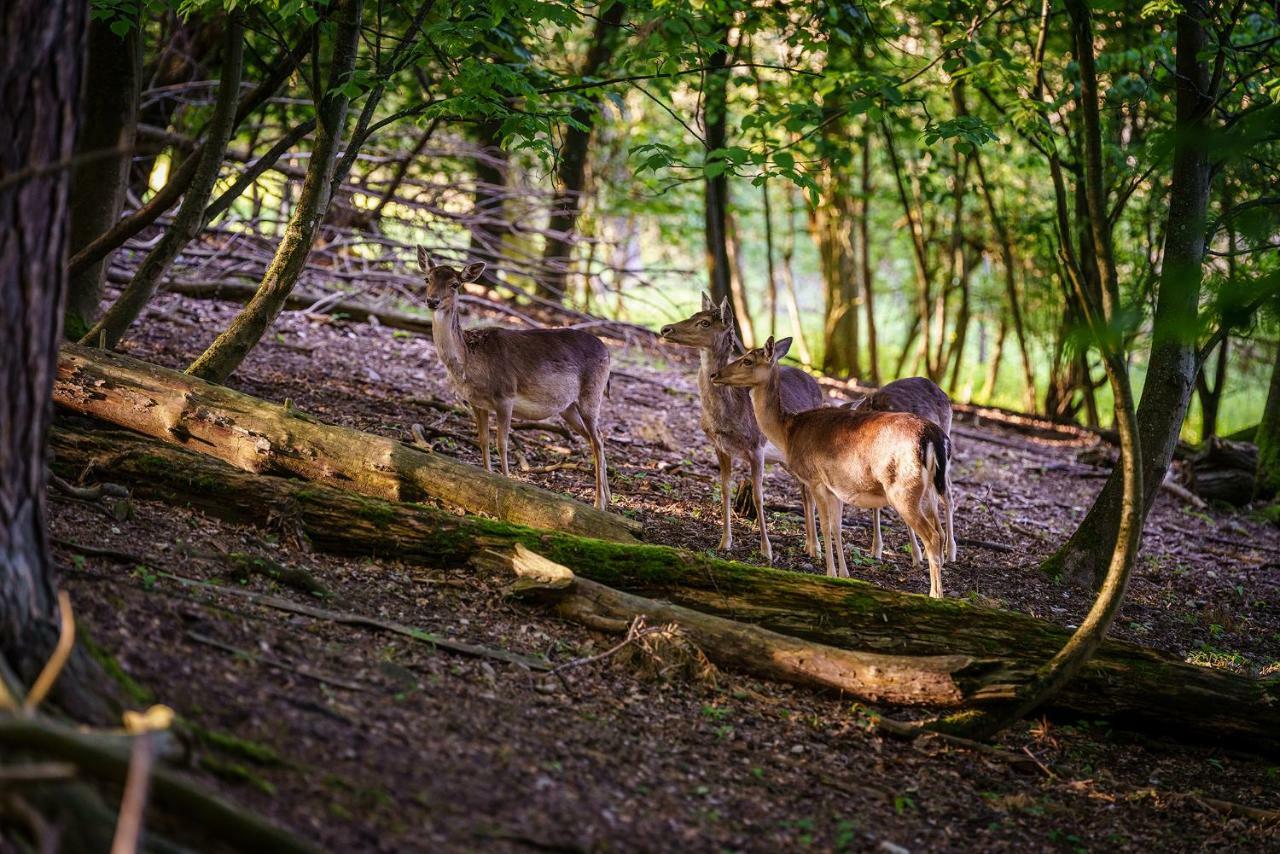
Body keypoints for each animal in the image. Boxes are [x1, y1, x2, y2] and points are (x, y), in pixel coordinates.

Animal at [417, 250, 611, 512]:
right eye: (427, 278)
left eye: (455, 284)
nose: (432, 301)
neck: (469, 364)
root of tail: (608, 352)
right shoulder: (476, 402)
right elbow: (483, 441)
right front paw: (483, 481)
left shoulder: (505, 396)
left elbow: (502, 443)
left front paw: (506, 486)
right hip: (568, 408)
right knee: (595, 436)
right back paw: (608, 497)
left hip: (591, 394)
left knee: (598, 439)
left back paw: (599, 503)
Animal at [655, 297, 824, 563]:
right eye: (694, 314)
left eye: (705, 322)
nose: (665, 329)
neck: (728, 415)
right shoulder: (720, 446)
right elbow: (725, 489)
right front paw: (724, 543)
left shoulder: (756, 447)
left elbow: (758, 496)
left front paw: (766, 551)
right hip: (787, 460)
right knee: (804, 490)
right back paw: (809, 546)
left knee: (810, 491)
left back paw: (815, 549)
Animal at [844, 376, 957, 563]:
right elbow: (876, 506)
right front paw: (876, 550)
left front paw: (915, 555)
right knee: (932, 496)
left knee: (947, 494)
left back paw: (950, 552)